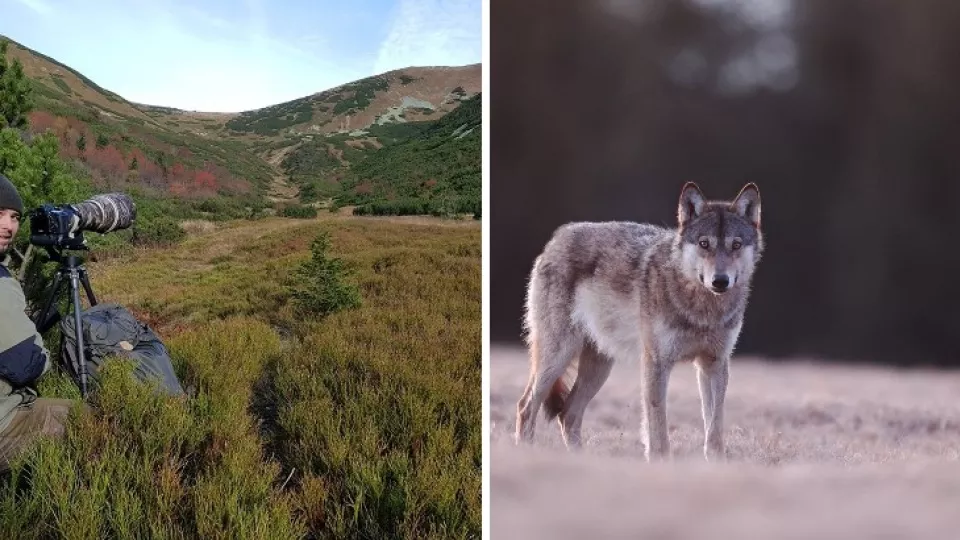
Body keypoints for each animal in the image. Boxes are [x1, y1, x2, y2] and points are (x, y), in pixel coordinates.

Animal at [516, 184, 764, 462]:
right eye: (704, 244)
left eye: (736, 245)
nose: (720, 281)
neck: (701, 310)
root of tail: (558, 237)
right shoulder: (656, 363)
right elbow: (658, 429)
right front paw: (661, 465)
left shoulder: (713, 364)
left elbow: (714, 427)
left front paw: (716, 465)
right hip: (557, 357)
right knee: (526, 406)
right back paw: (525, 455)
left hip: (598, 368)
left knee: (568, 414)